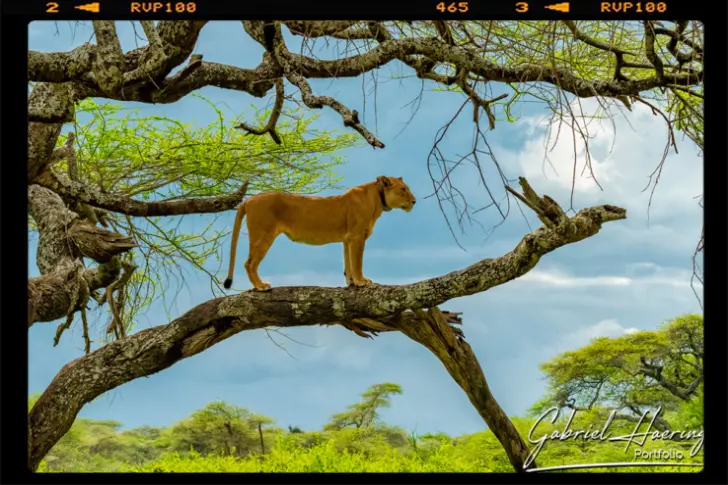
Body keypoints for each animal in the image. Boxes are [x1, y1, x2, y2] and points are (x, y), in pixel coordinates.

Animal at [223, 175, 417, 291]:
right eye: (403, 189)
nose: (414, 201)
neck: (377, 199)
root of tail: (248, 200)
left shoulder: (348, 239)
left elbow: (348, 263)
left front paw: (352, 283)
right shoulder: (357, 237)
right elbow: (357, 262)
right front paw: (362, 281)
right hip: (263, 235)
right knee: (249, 263)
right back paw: (261, 286)